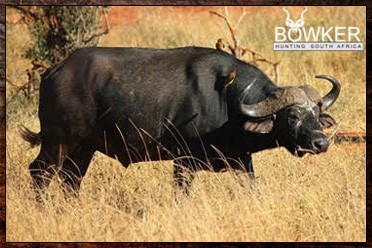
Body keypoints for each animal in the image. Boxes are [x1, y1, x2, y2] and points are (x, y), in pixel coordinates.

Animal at [21, 46, 340, 196]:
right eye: (292, 115)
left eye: (316, 113)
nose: (320, 143)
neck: (227, 103)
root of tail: (53, 72)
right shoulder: (183, 162)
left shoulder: (241, 161)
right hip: (57, 143)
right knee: (40, 173)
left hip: (84, 148)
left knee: (71, 180)